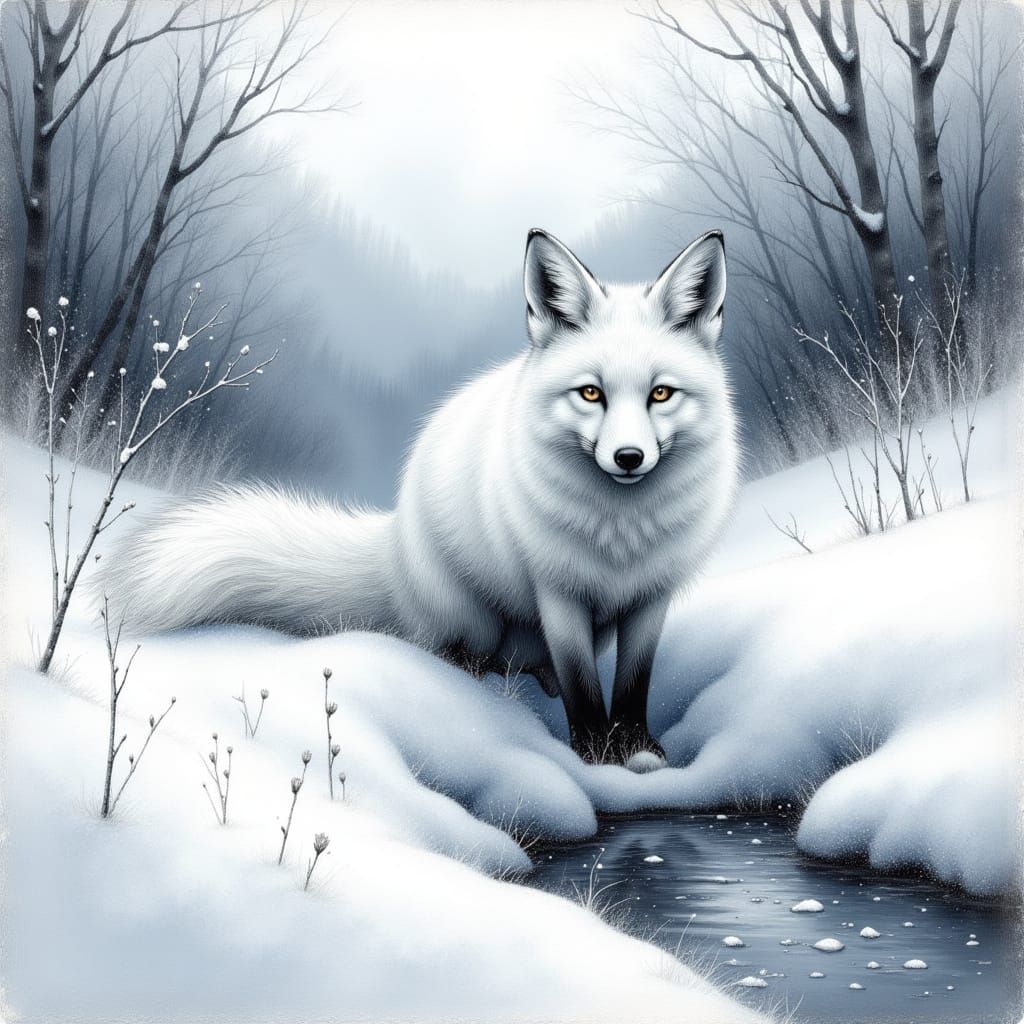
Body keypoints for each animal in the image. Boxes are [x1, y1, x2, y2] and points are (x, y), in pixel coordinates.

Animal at [100, 228, 739, 767]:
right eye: (590, 393)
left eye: (661, 394)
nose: (628, 458)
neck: (621, 536)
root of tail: (395, 547)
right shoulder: (557, 592)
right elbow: (584, 686)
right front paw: (595, 754)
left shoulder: (651, 598)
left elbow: (633, 685)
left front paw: (638, 750)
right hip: (473, 618)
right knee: (465, 658)